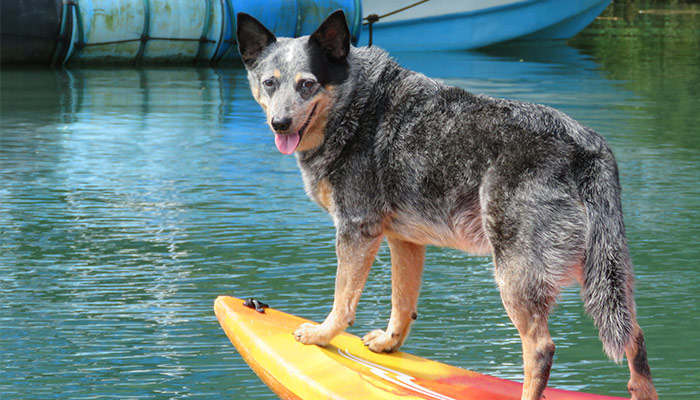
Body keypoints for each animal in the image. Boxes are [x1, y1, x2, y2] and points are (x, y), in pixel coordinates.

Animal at [235, 10, 656, 400]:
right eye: (269, 83)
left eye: (307, 84)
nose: (279, 123)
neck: (356, 102)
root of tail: (585, 147)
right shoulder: (405, 241)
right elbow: (402, 303)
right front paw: (389, 345)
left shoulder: (356, 230)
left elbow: (343, 300)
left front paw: (322, 335)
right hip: (604, 276)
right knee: (635, 337)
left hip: (517, 277)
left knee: (540, 349)